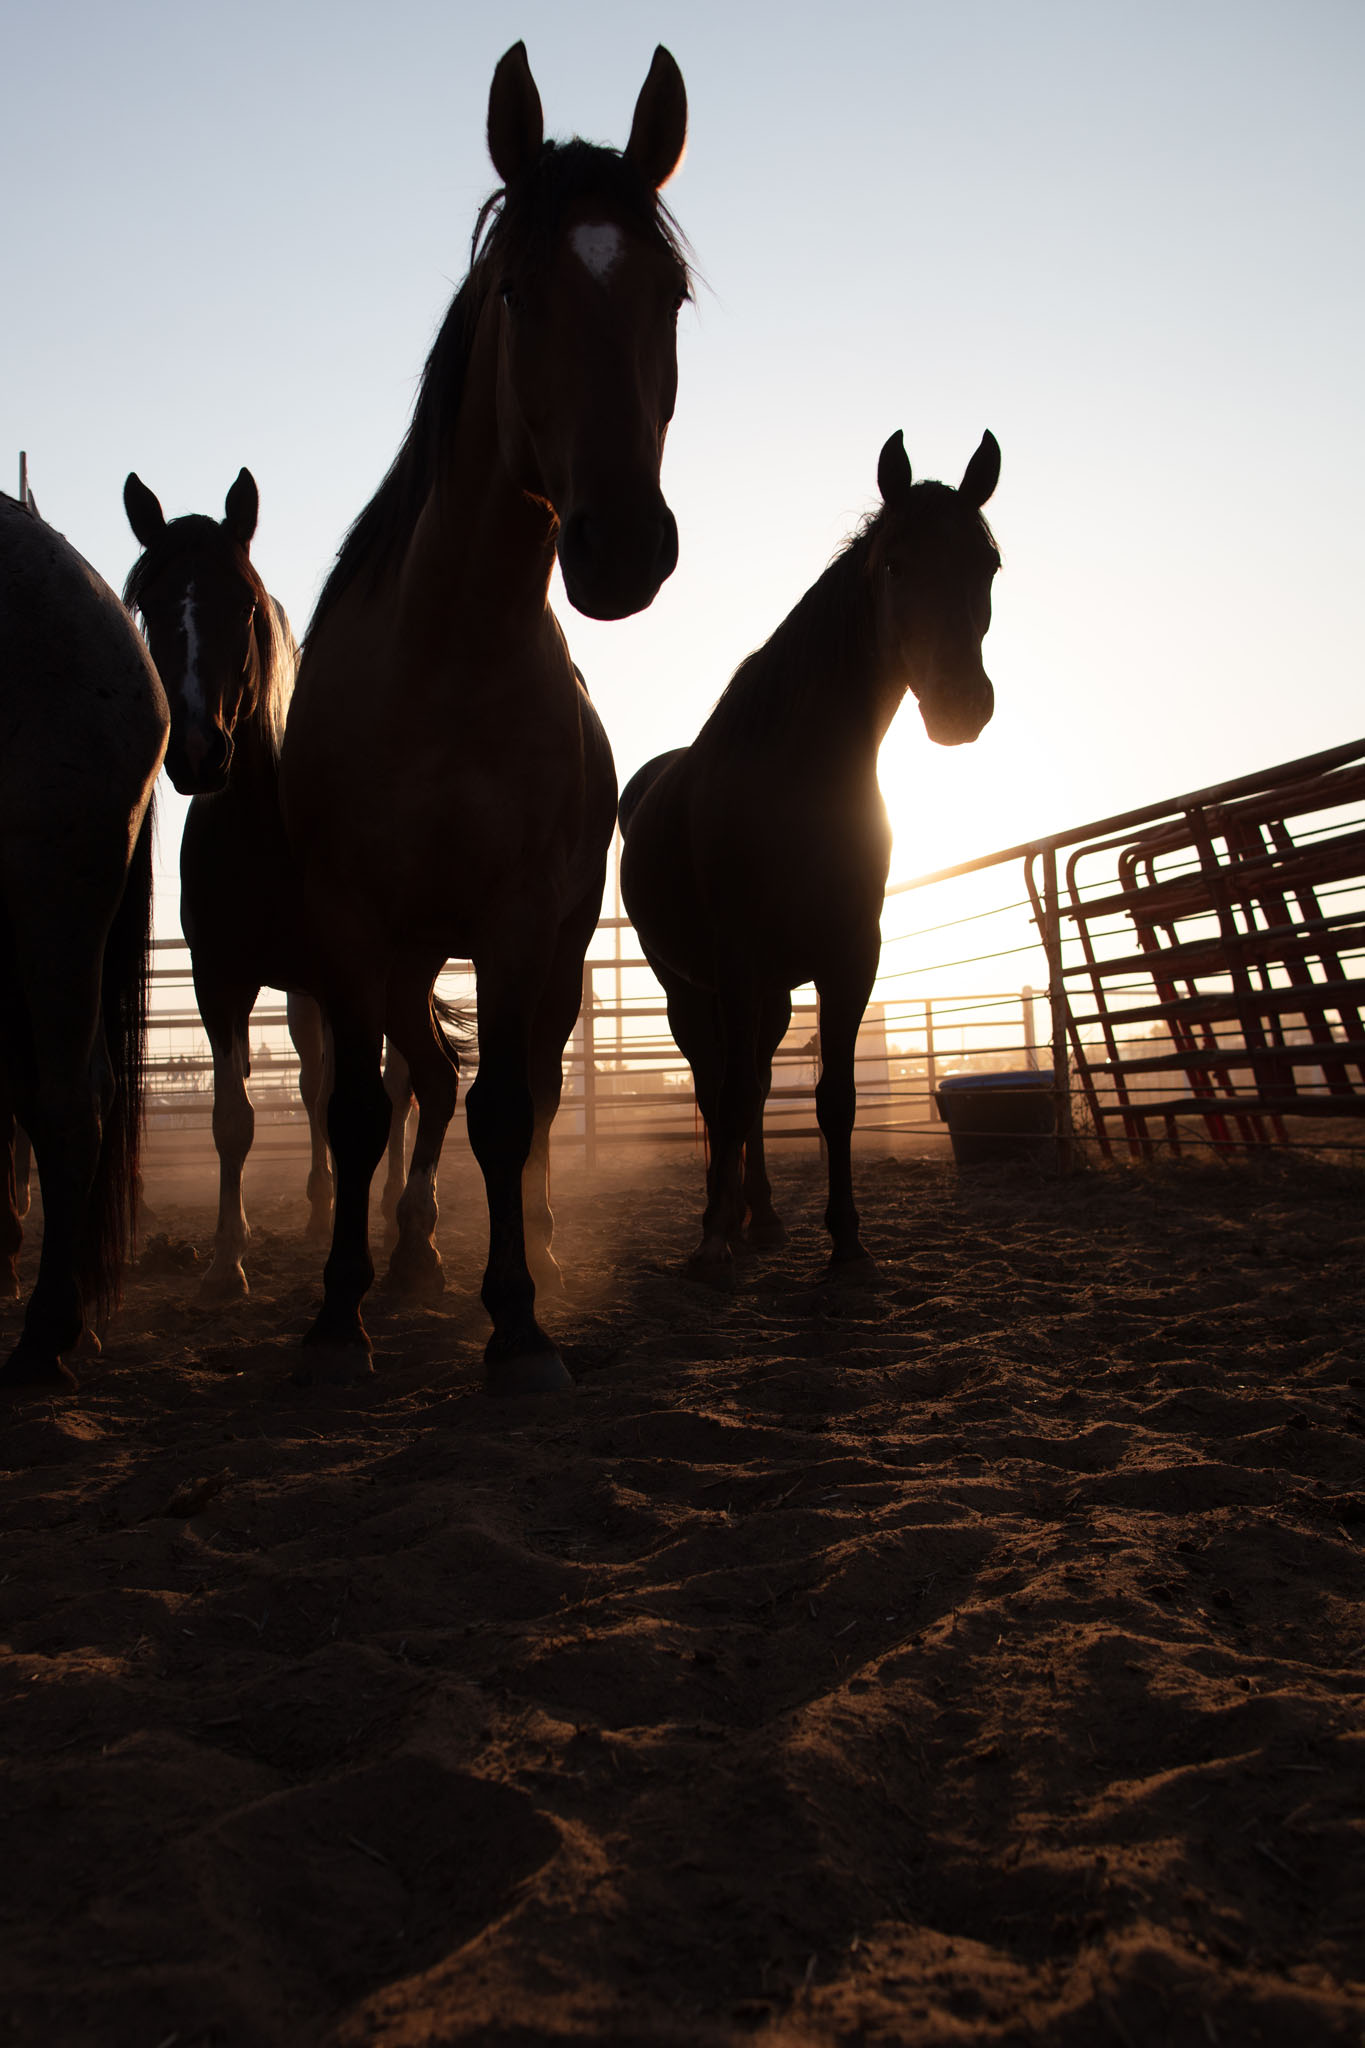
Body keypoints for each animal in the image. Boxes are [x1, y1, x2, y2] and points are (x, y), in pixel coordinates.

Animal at [278, 41, 689, 1393]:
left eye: (670, 292)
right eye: (517, 290)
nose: (624, 546)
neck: (443, 665)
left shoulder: (520, 921)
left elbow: (511, 1109)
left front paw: (517, 1321)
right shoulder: (352, 921)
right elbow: (367, 1107)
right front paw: (338, 1313)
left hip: (552, 954)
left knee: (534, 1091)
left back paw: (542, 1247)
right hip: (410, 954)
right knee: (432, 1074)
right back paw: (411, 1256)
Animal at [618, 430, 1002, 1283]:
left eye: (988, 563)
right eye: (893, 563)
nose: (960, 703)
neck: (799, 779)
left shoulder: (849, 958)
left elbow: (833, 1099)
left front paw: (847, 1244)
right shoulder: (735, 963)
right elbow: (728, 1098)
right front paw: (711, 1239)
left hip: (772, 995)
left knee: (756, 1085)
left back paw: (758, 1216)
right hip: (688, 990)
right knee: (715, 1087)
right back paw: (722, 1217)